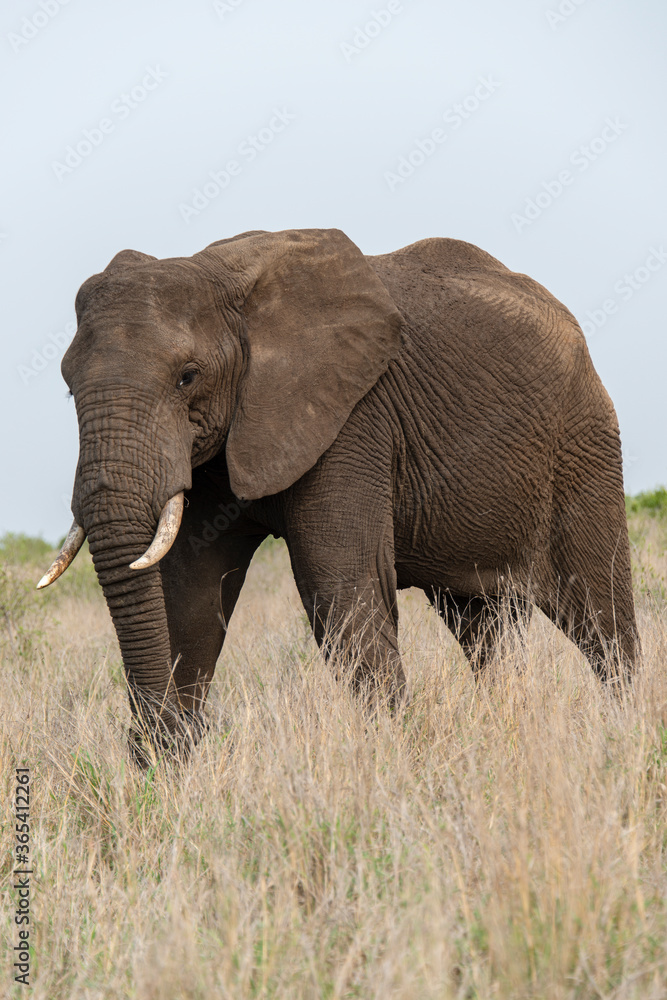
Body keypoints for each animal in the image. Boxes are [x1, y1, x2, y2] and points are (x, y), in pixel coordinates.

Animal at [39, 227, 640, 756]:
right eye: (67, 386)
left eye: (188, 376)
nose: (170, 731)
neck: (219, 276)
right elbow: (189, 589)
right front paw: (168, 762)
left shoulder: (353, 416)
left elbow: (340, 587)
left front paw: (392, 759)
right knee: (484, 629)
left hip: (583, 445)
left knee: (602, 619)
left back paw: (626, 732)